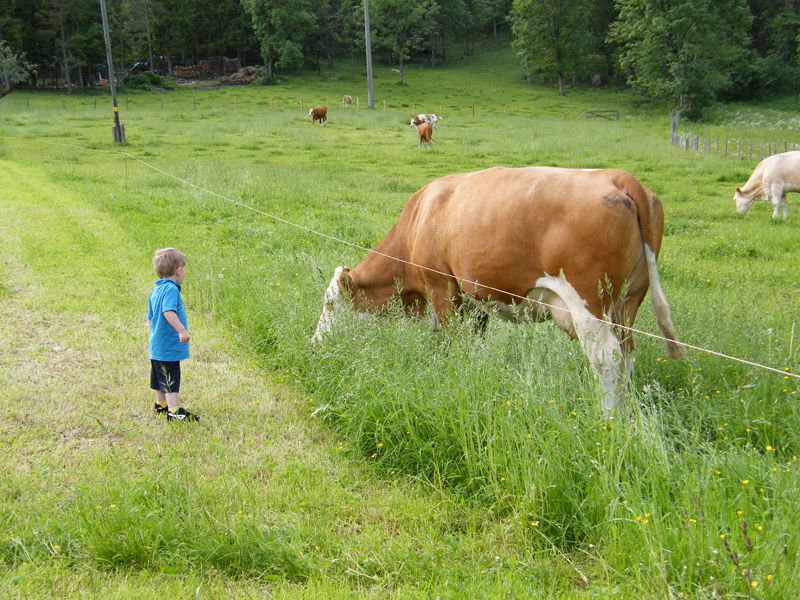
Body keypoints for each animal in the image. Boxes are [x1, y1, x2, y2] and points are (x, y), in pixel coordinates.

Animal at [310, 166, 680, 414]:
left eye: (328, 304)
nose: (314, 344)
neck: (418, 219)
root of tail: (618, 176)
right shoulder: (473, 299)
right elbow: (474, 343)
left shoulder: (441, 286)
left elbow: (454, 342)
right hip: (627, 303)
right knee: (627, 355)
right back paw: (626, 414)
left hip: (589, 305)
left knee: (607, 358)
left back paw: (607, 418)